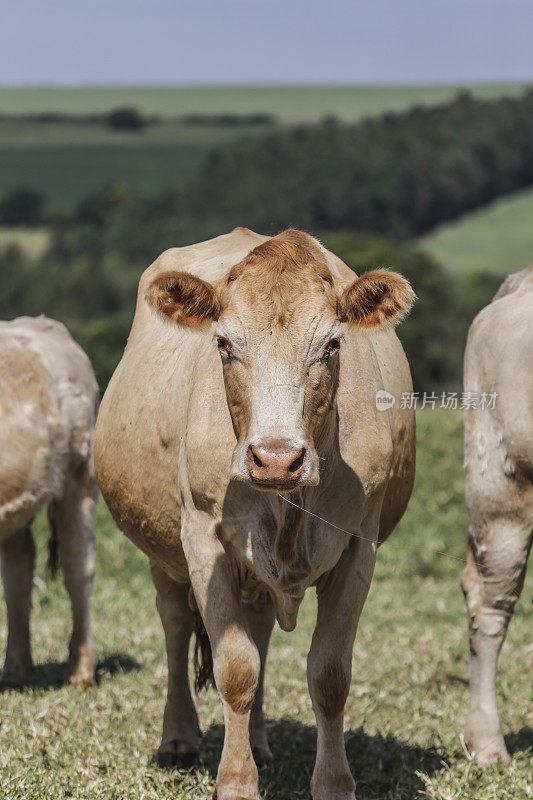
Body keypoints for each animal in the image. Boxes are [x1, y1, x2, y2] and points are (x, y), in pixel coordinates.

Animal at [94, 227, 416, 800]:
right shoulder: (204, 540)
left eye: (333, 345)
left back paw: (261, 743)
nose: (277, 457)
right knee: (175, 624)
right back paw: (178, 740)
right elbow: (236, 668)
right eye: (224, 343)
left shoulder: (360, 544)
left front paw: (333, 782)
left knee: (261, 628)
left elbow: (329, 673)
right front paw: (237, 782)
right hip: (163, 552)